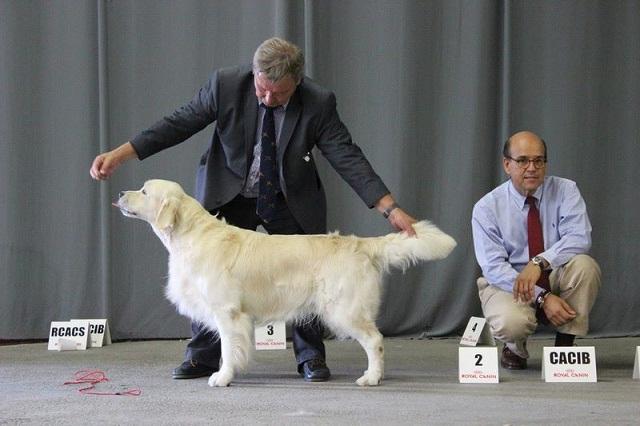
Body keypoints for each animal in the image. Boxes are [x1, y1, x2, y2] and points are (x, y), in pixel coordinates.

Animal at [114, 179, 456, 386]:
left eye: (144, 192)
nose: (119, 193)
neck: (192, 236)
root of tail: (360, 243)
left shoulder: (227, 311)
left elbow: (228, 347)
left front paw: (223, 377)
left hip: (344, 309)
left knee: (375, 340)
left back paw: (371, 377)